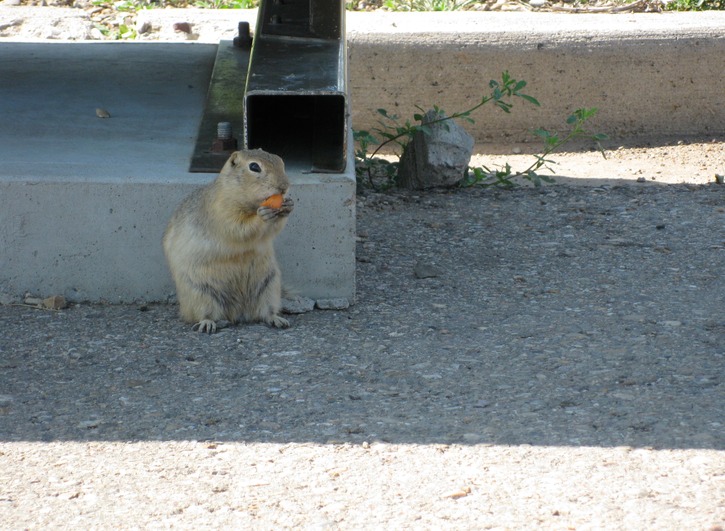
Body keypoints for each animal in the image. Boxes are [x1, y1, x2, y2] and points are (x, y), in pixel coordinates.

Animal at [163, 150, 292, 332]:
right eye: (254, 167)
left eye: (281, 161)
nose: (284, 187)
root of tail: (237, 312)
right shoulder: (222, 212)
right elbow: (239, 228)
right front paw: (262, 215)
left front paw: (288, 206)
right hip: (199, 293)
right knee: (205, 313)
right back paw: (208, 323)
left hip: (270, 287)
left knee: (265, 312)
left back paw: (277, 319)